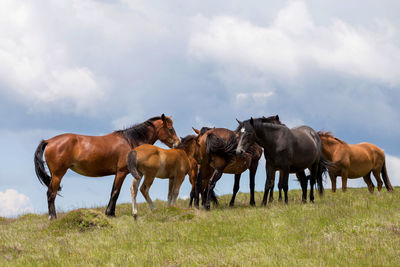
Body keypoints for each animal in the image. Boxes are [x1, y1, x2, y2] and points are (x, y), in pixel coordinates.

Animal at [33, 114, 179, 220]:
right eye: (170, 129)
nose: (177, 143)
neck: (129, 141)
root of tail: (49, 141)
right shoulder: (121, 172)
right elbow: (115, 192)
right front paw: (110, 213)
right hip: (58, 175)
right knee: (51, 194)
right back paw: (53, 217)